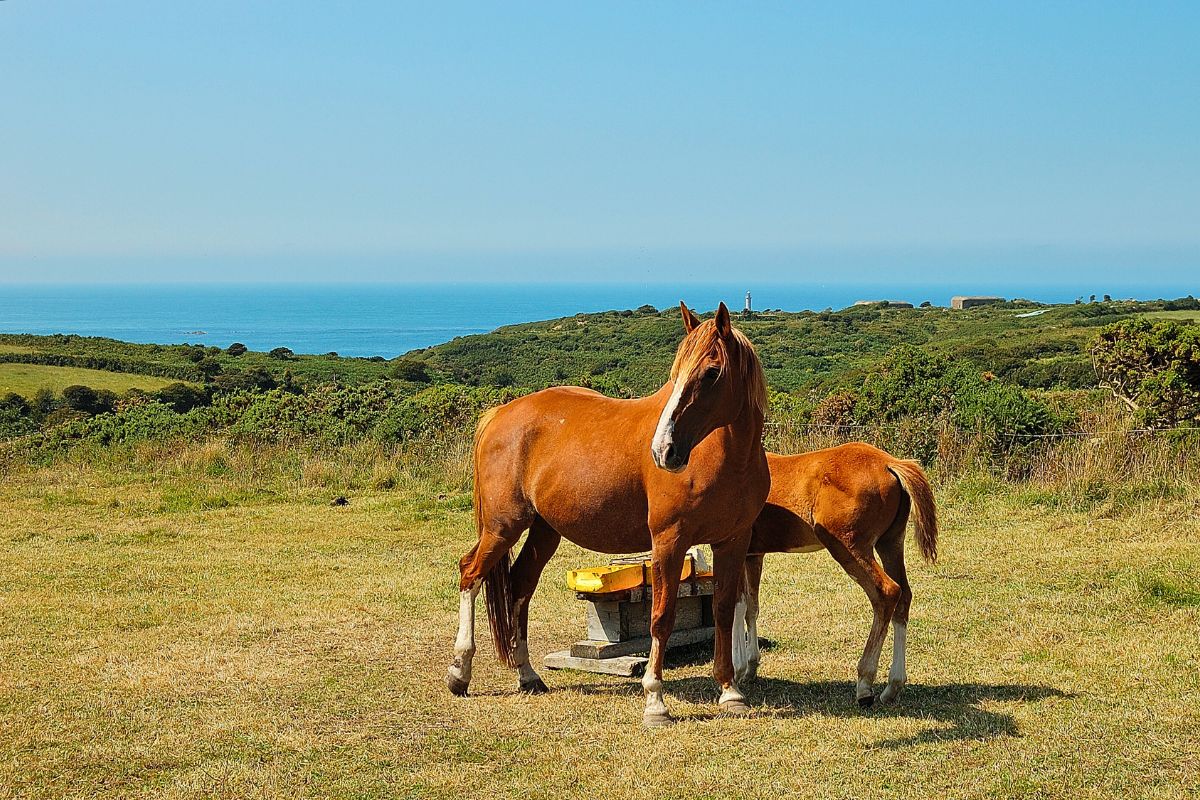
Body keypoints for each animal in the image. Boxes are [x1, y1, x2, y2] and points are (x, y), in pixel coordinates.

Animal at [444, 299, 768, 724]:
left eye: (711, 372)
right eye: (675, 374)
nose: (663, 450)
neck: (723, 457)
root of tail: (500, 414)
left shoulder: (733, 542)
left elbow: (725, 611)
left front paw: (730, 691)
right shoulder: (669, 542)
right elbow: (661, 619)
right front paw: (655, 700)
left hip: (544, 531)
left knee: (520, 586)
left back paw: (527, 675)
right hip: (502, 527)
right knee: (471, 574)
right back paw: (459, 672)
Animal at [734, 443, 940, 705]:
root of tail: (888, 462)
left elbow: (735, 607)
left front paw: (736, 671)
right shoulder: (753, 555)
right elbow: (751, 607)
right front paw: (750, 668)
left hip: (848, 546)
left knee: (887, 593)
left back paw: (865, 684)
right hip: (891, 543)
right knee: (903, 597)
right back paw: (892, 687)